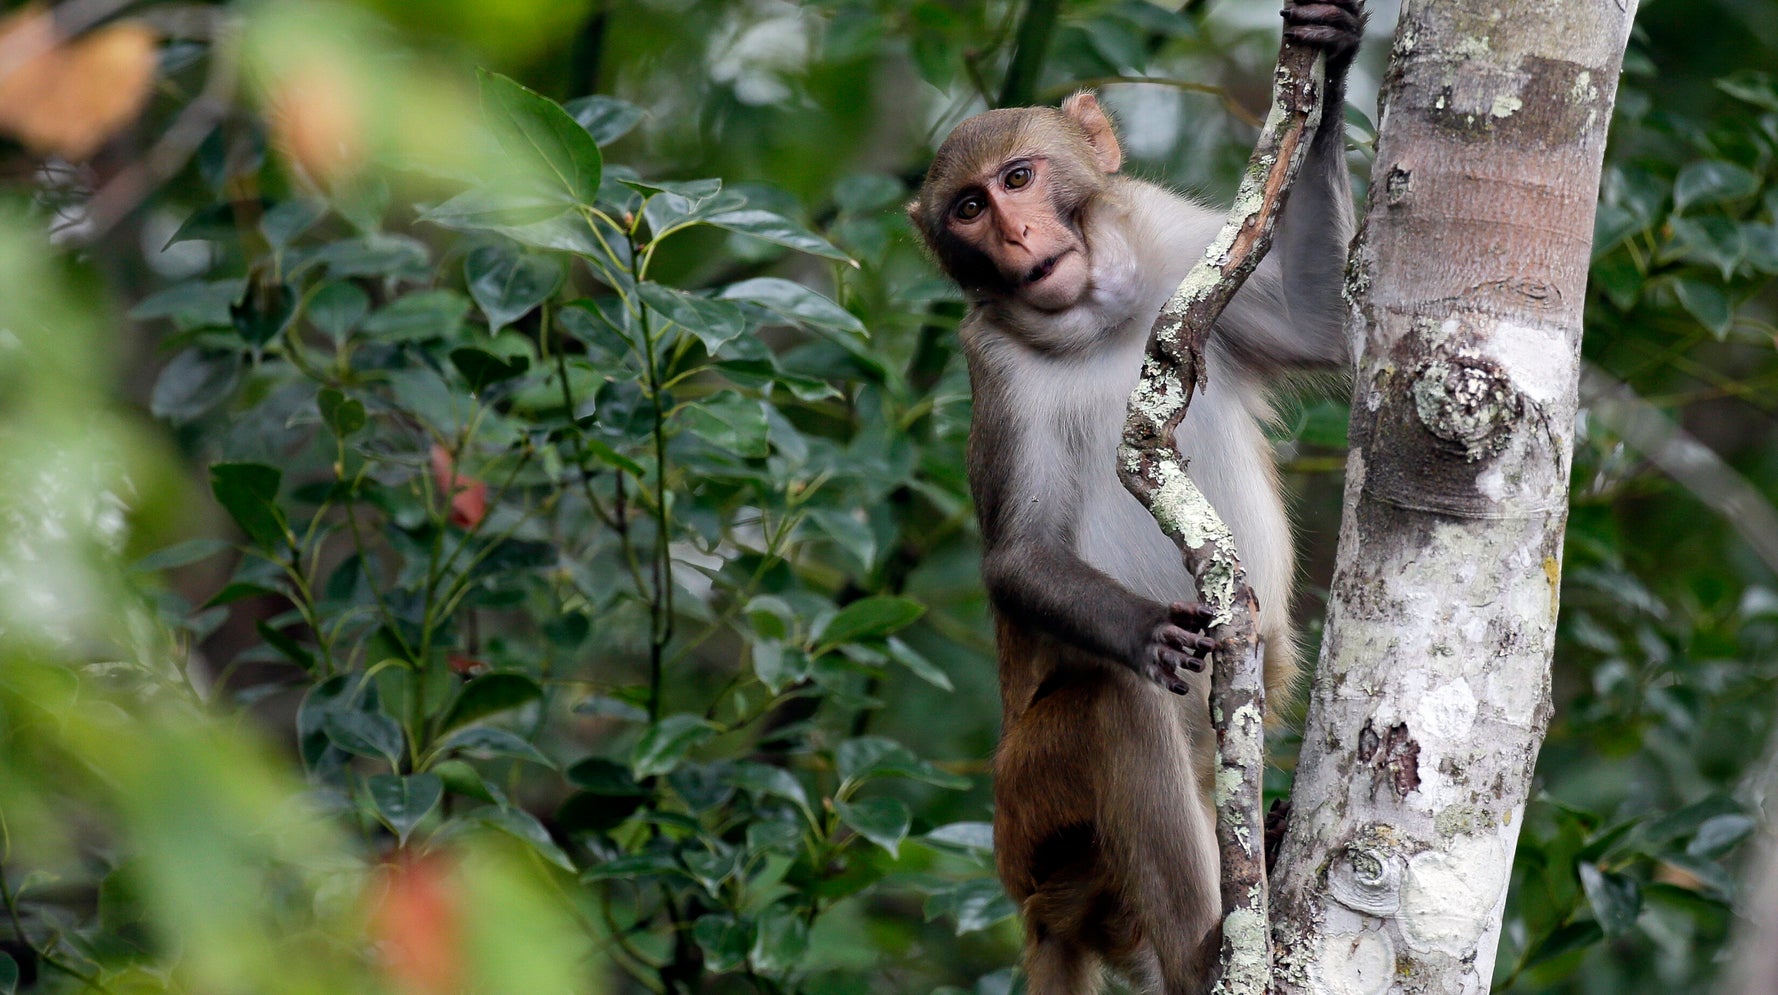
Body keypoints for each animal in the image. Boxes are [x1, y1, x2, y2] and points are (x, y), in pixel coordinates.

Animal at [905, 3, 1364, 992]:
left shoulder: (1176, 239)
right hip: (1032, 811)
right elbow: (1020, 554)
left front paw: (1335, 55)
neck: (1097, 319)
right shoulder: (993, 368)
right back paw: (1202, 951)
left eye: (1020, 177)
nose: (1016, 237)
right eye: (970, 208)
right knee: (1114, 705)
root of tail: (1042, 909)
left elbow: (1320, 321)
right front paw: (1144, 628)